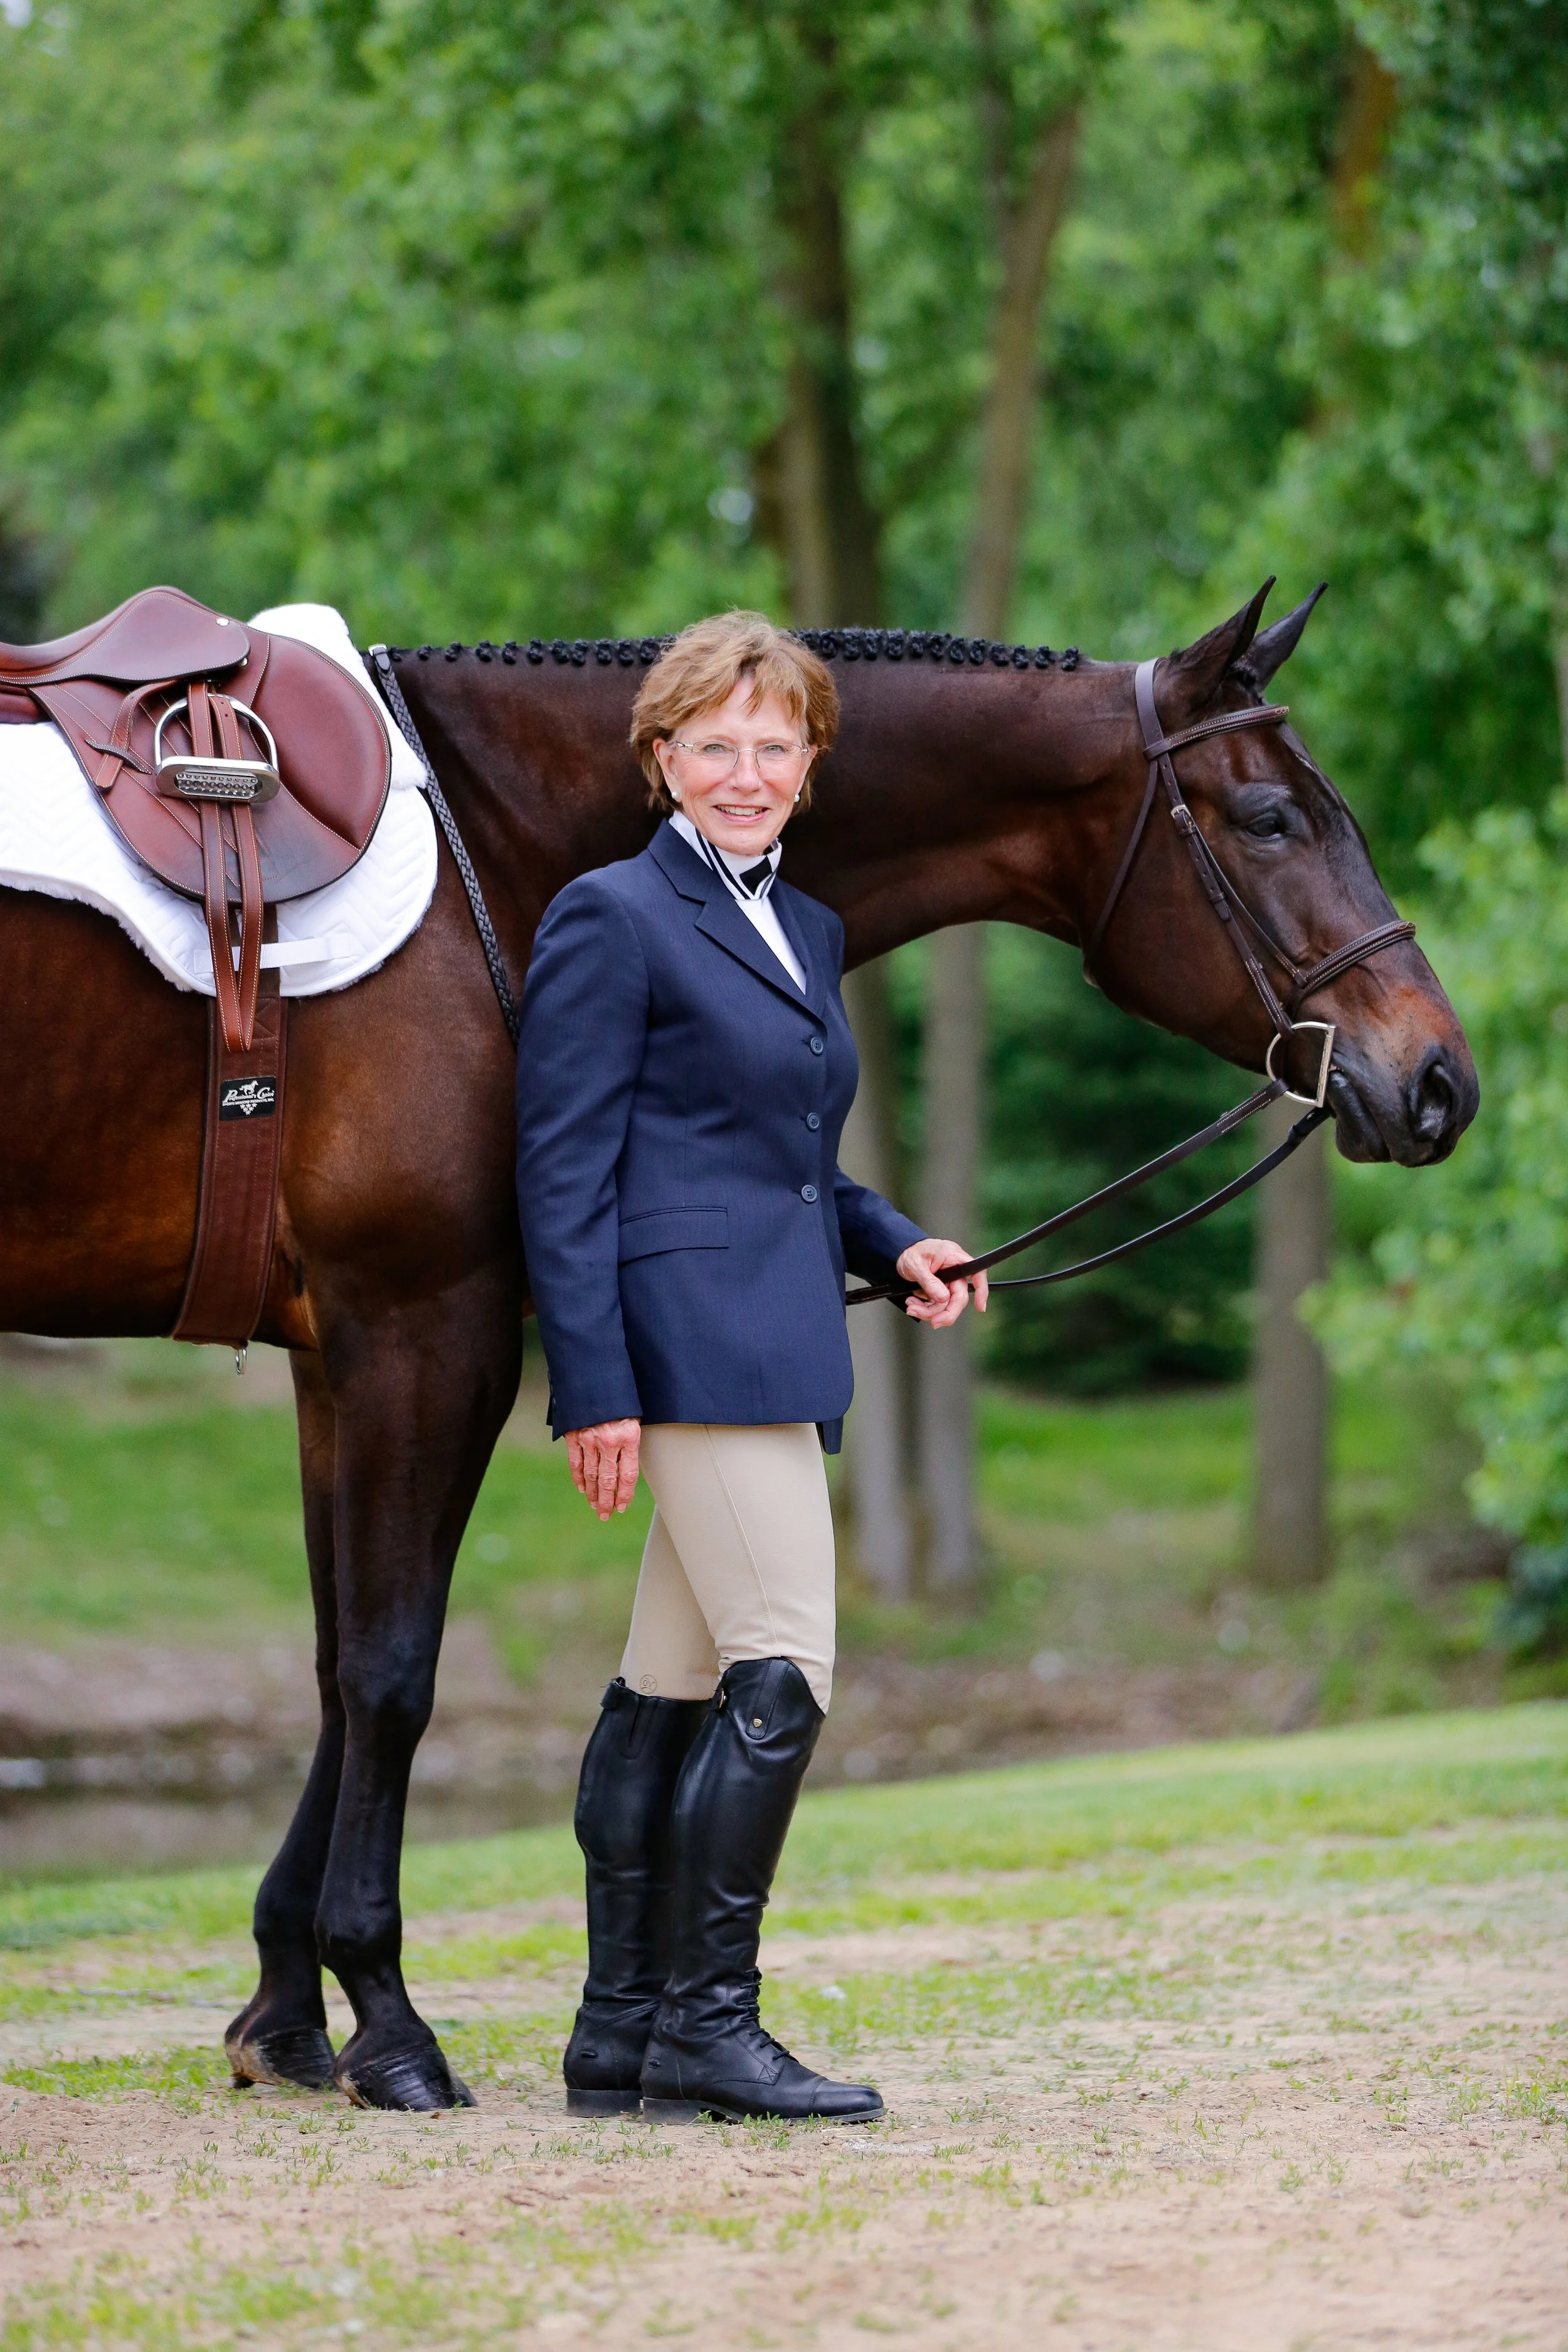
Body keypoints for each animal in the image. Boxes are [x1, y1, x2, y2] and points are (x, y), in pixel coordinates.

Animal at [0, 580, 1477, 2109]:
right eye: (1269, 818)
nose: (1439, 1079)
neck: (494, 843)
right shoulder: (423, 1327)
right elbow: (392, 1672)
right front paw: (389, 2024)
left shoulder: (334, 1353)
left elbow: (336, 1664)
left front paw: (288, 2009)